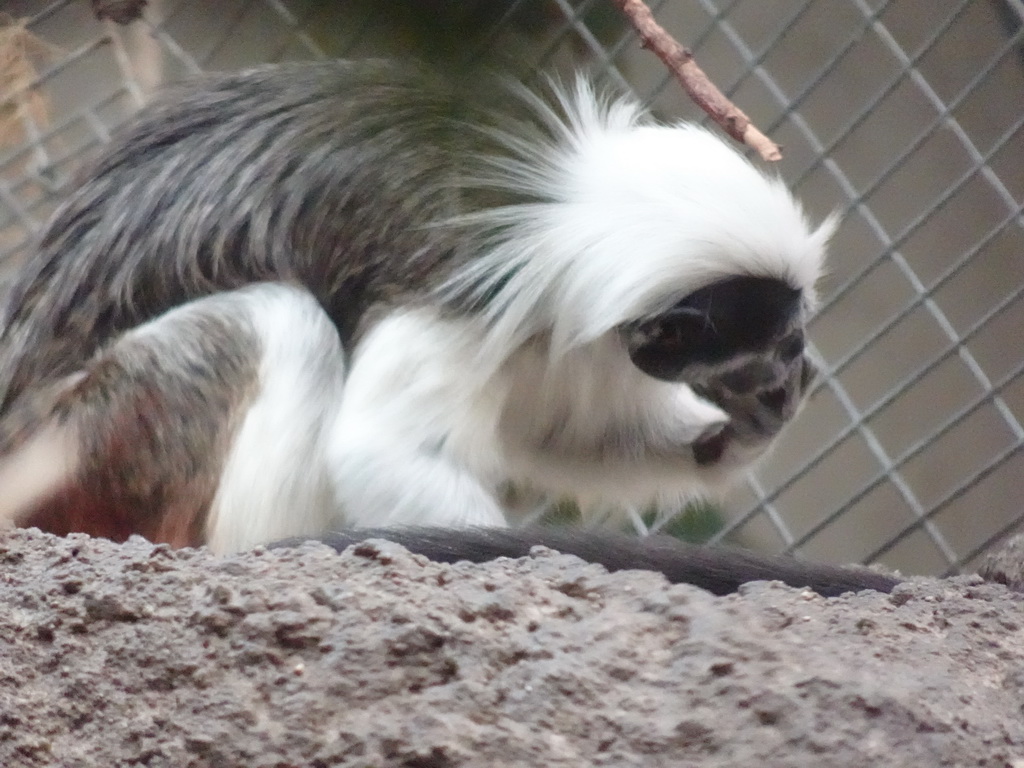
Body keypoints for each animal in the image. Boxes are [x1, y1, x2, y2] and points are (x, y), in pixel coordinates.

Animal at [0, 60, 897, 598]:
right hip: (87, 447)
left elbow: (559, 432)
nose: (783, 385)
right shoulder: (458, 287)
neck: (557, 205)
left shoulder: (554, 319)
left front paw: (723, 444)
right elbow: (384, 449)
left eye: (791, 346)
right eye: (765, 352)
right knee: (275, 321)